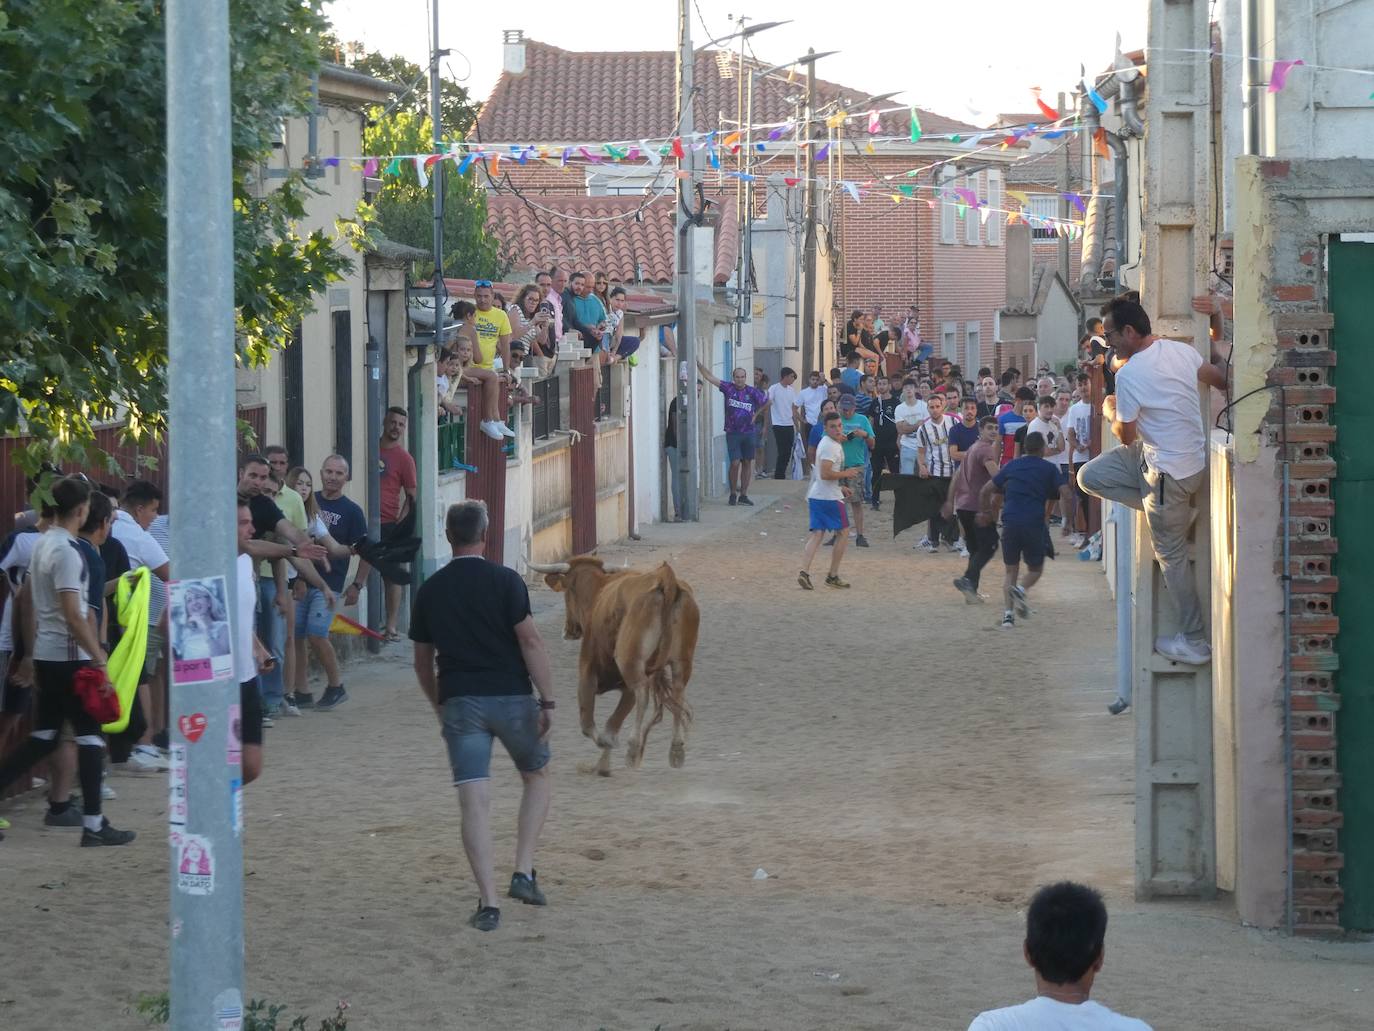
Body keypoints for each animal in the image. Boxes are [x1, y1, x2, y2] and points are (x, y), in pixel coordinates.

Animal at [524, 558, 697, 775]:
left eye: (567, 593)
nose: (568, 630)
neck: (599, 593)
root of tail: (666, 579)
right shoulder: (627, 686)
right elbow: (614, 721)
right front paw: (603, 765)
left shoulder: (587, 673)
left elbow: (589, 724)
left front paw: (605, 749)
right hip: (681, 662)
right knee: (677, 692)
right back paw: (676, 750)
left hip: (630, 660)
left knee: (643, 693)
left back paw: (633, 748)